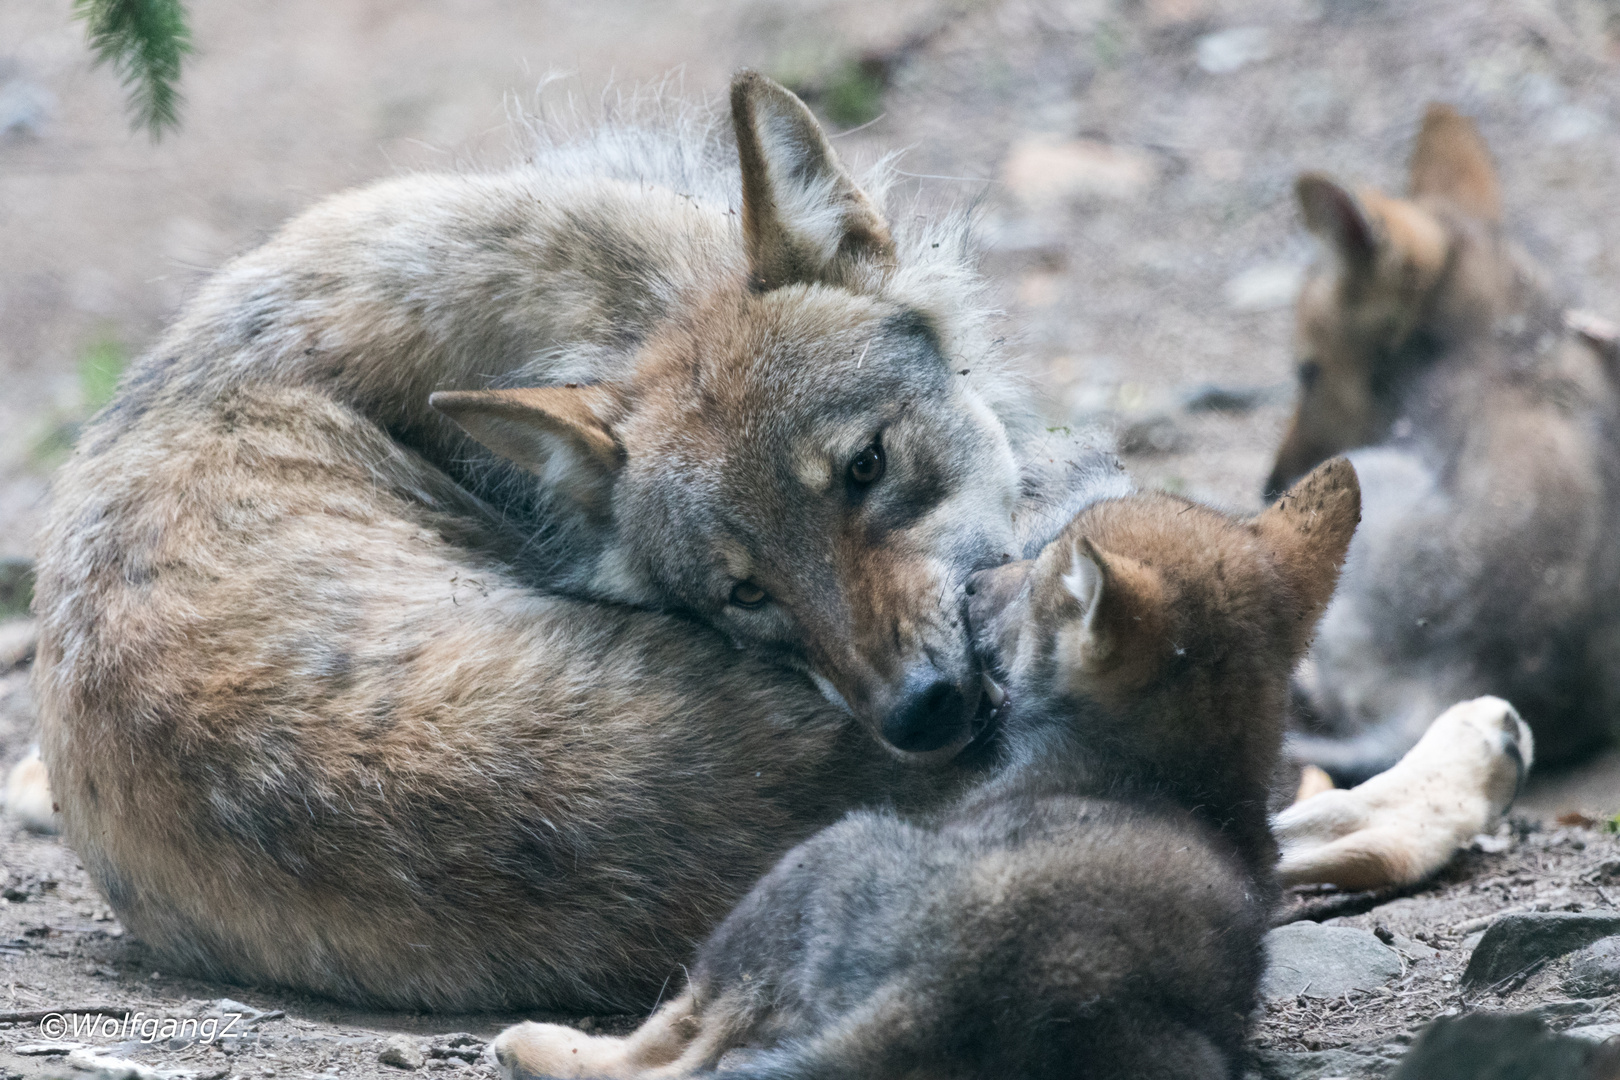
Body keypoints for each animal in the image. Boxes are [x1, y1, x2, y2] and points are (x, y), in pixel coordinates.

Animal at [19, 74, 1522, 1016]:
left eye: (865, 470)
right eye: (743, 595)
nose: (921, 717)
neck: (600, 300)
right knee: (1322, 822)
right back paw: (1474, 746)